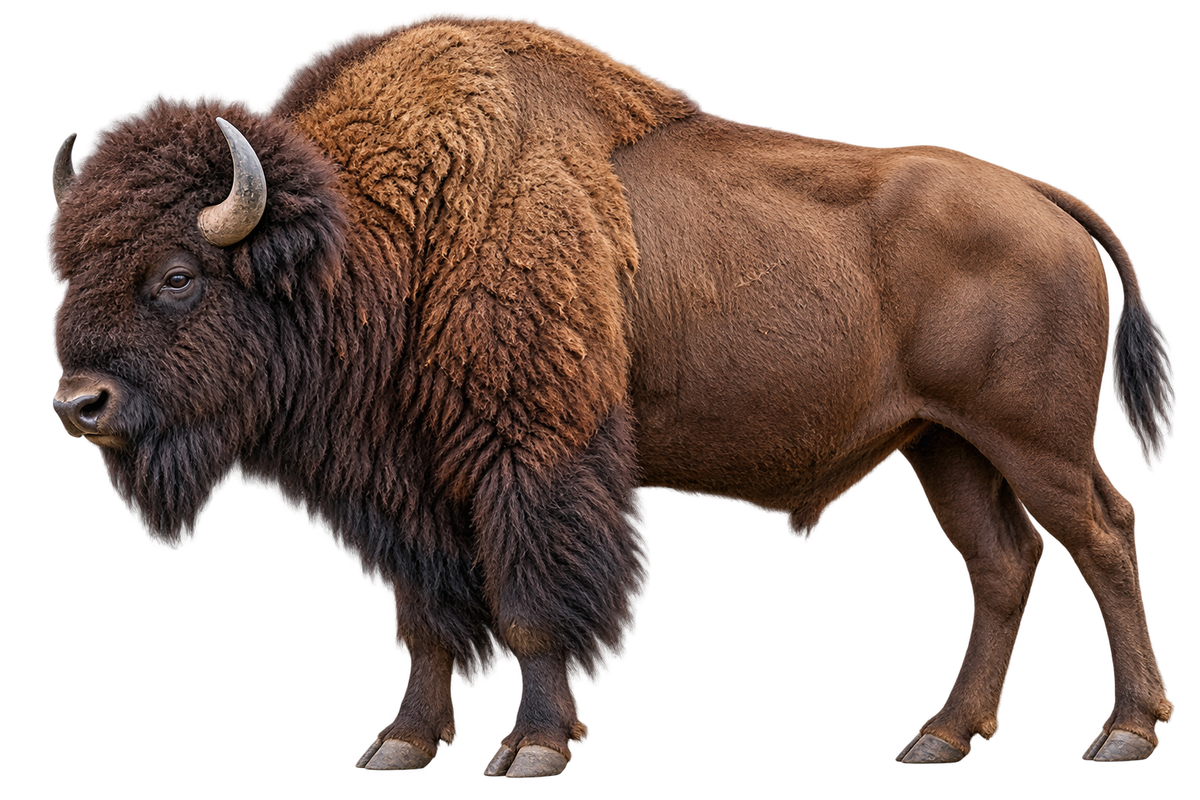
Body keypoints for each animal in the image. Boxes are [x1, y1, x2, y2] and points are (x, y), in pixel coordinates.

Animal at [46, 16, 1178, 780]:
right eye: (65, 271)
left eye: (178, 276)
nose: (76, 403)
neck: (377, 231)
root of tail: (1042, 198)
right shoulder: (401, 493)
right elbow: (423, 618)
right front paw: (399, 744)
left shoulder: (528, 457)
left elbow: (533, 603)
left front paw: (531, 751)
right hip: (943, 445)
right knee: (1000, 566)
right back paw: (939, 737)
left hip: (1036, 440)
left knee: (1104, 536)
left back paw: (1122, 731)